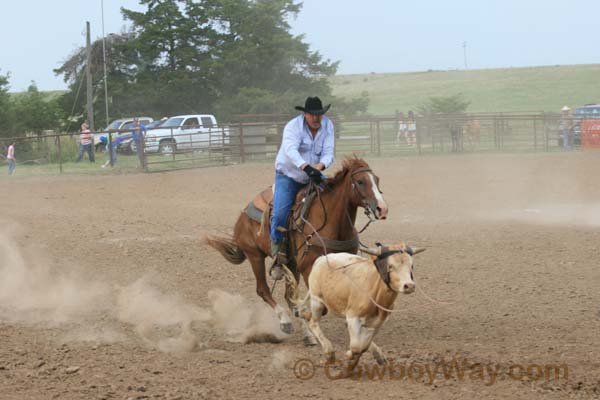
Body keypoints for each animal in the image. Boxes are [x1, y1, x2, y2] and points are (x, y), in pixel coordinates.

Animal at [204, 156, 390, 340]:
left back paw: (307, 334)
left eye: (377, 179)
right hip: (255, 256)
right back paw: (286, 322)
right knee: (263, 290)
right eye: (360, 182)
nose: (382, 209)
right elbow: (321, 306)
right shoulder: (307, 265)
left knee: (289, 296)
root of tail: (242, 216)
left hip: (290, 263)